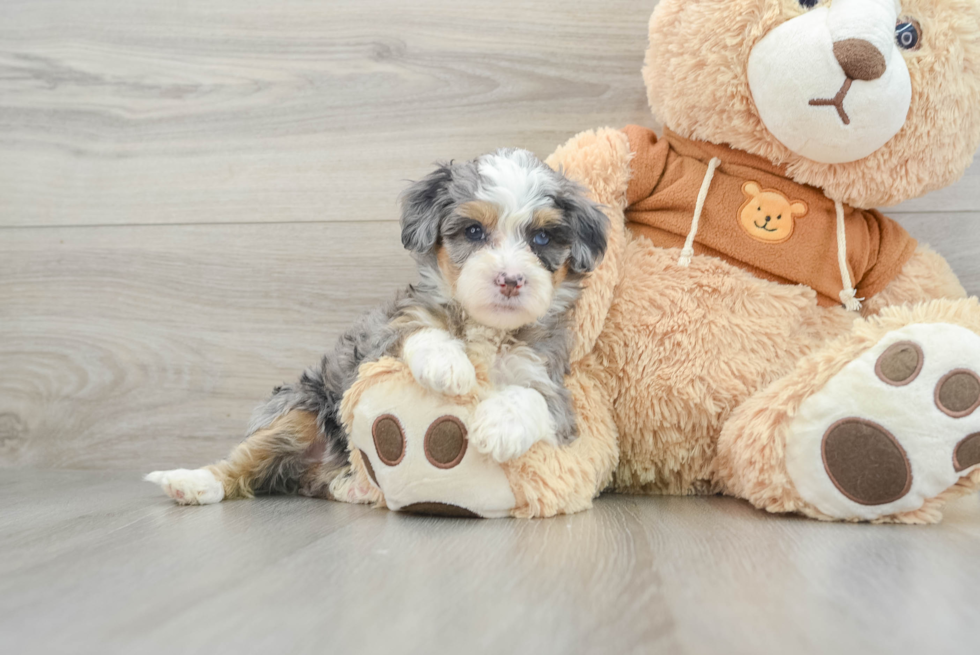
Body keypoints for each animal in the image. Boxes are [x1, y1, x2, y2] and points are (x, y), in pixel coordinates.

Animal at [145, 150, 604, 508]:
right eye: (474, 231)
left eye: (542, 238)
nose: (510, 280)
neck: (485, 328)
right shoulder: (377, 343)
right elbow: (418, 332)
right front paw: (447, 366)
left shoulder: (549, 385)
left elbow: (533, 399)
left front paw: (499, 427)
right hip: (300, 410)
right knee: (244, 460)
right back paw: (190, 482)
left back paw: (355, 486)